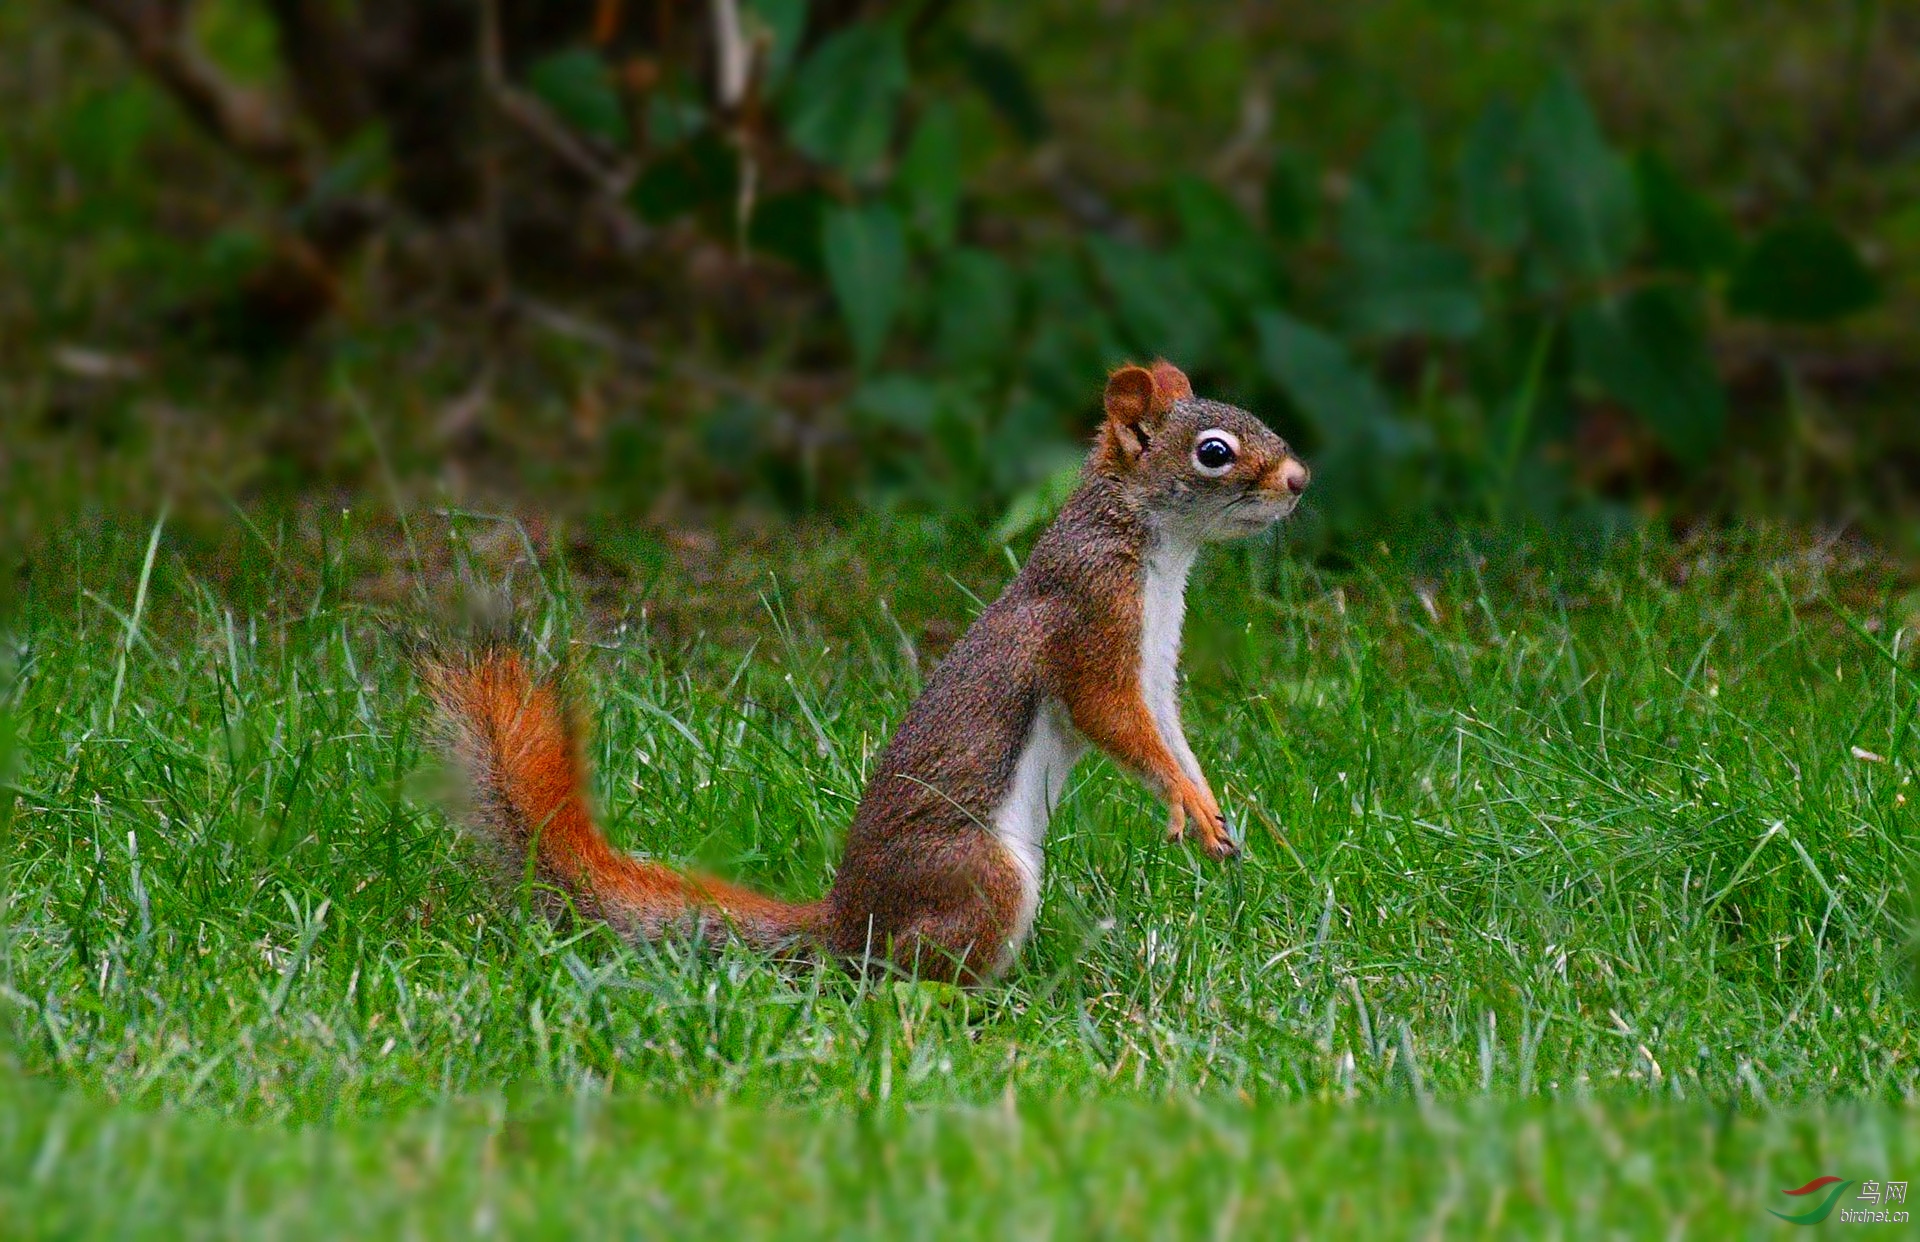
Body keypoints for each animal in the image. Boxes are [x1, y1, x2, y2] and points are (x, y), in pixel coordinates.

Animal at [418, 357, 1305, 982]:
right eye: (1215, 453)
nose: (1299, 481)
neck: (1153, 547)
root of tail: (846, 924)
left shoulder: (1152, 660)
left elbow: (1167, 730)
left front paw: (1208, 806)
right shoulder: (1091, 622)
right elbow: (1114, 719)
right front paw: (1185, 802)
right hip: (978, 876)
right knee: (907, 979)